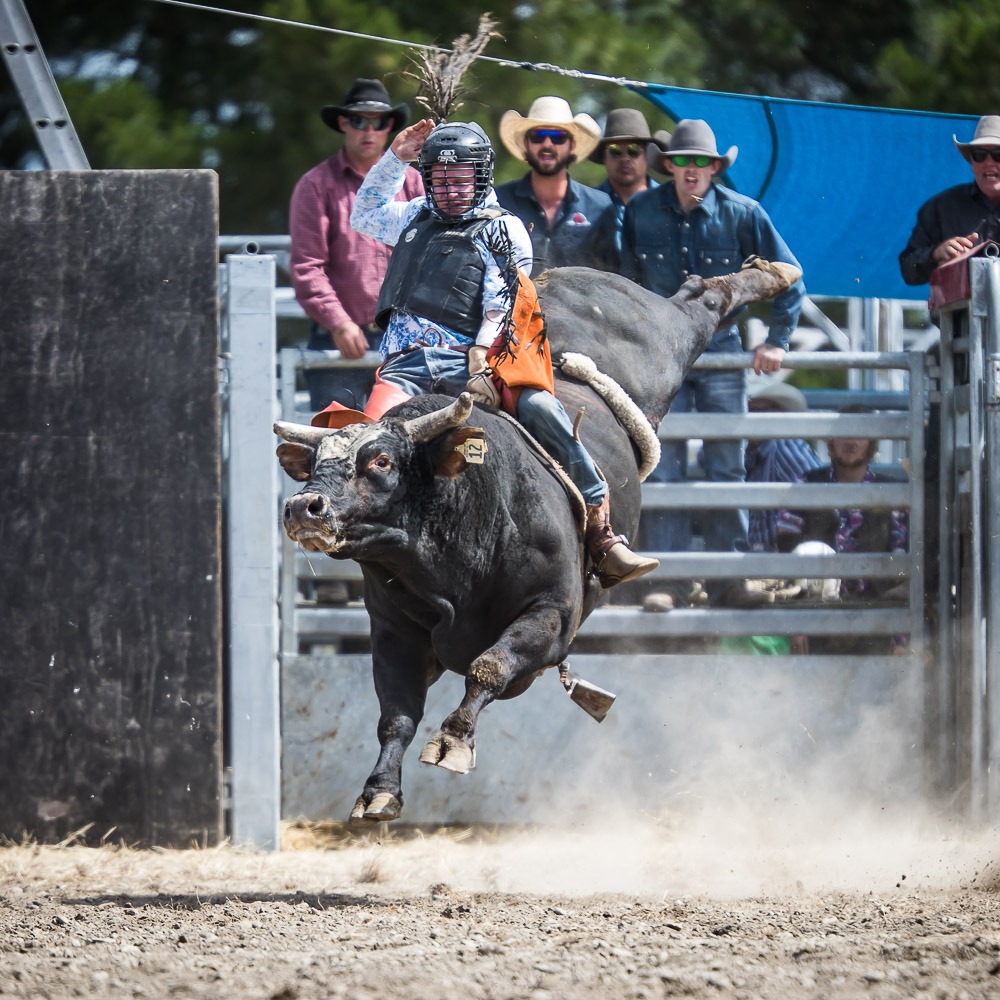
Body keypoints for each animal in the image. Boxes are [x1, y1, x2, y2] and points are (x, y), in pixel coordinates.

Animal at [276, 260, 804, 820]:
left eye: (381, 461)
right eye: (315, 462)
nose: (303, 507)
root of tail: (562, 280)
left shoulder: (551, 616)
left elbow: (488, 667)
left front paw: (453, 741)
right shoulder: (394, 632)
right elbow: (395, 714)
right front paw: (379, 791)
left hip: (663, 336)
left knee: (700, 298)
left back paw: (772, 272)